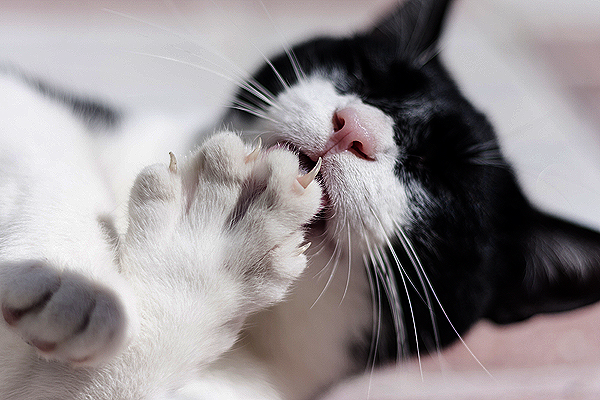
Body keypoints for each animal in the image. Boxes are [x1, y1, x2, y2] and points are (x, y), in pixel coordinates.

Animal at [1, 0, 600, 400]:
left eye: (440, 176)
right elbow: (49, 130)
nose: (355, 127)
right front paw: (75, 280)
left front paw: (208, 251)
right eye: (365, 75)